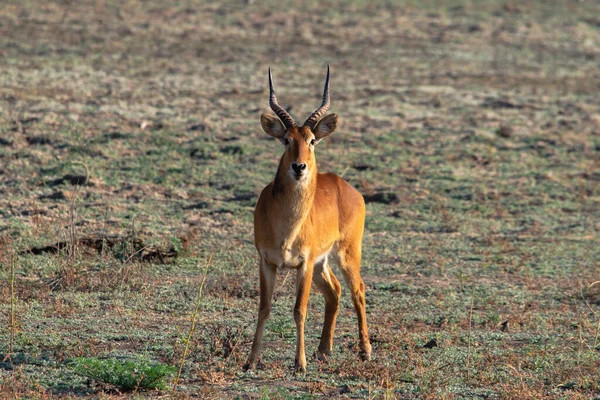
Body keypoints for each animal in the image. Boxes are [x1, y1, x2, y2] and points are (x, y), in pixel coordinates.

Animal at [244, 65, 370, 372]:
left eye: (311, 140)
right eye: (286, 139)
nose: (299, 166)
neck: (286, 228)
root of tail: (345, 186)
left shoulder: (303, 263)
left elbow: (299, 310)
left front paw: (299, 363)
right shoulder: (267, 262)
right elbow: (264, 308)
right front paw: (250, 361)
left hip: (346, 253)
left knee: (358, 289)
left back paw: (365, 352)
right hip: (321, 263)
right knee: (335, 291)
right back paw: (323, 351)